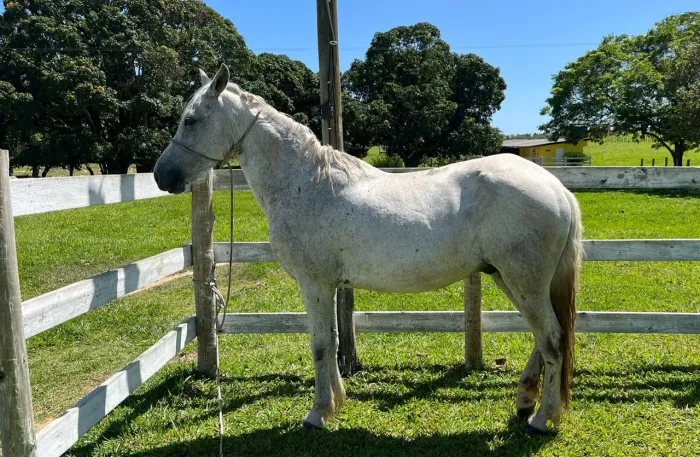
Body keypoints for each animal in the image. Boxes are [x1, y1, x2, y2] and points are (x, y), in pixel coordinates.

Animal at [154, 64, 583, 434]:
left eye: (191, 119)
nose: (161, 175)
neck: (305, 182)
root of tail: (556, 188)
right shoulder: (328, 286)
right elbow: (331, 342)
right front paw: (334, 403)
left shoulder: (315, 284)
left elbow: (321, 346)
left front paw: (318, 413)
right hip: (511, 280)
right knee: (543, 338)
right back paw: (525, 401)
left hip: (523, 281)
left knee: (553, 339)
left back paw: (543, 418)